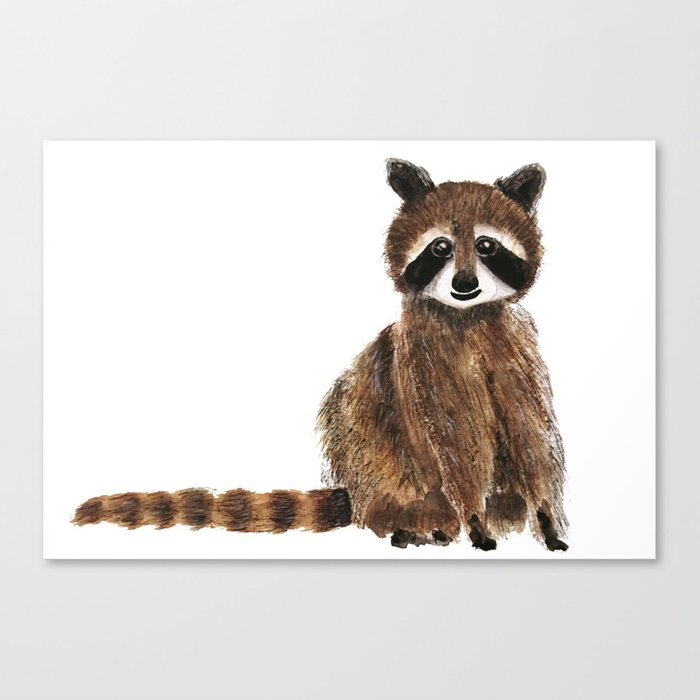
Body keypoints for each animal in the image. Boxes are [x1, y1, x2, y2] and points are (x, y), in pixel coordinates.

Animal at [73, 159, 568, 552]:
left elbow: (530, 437)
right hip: (375, 461)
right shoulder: (424, 364)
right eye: (440, 247)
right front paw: (474, 518)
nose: (465, 285)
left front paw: (546, 516)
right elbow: (455, 447)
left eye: (486, 245)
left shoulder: (517, 352)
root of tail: (358, 495)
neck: (467, 317)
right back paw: (419, 526)